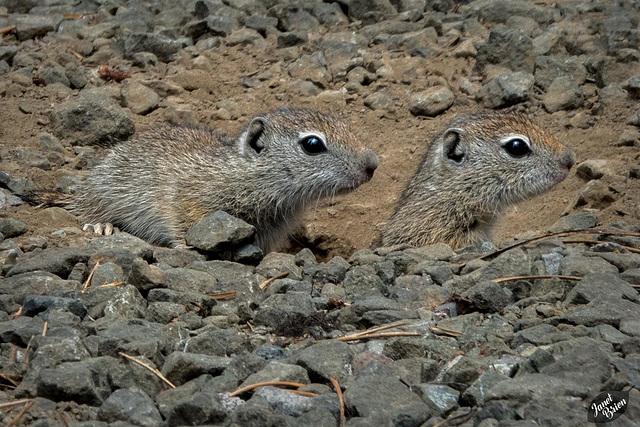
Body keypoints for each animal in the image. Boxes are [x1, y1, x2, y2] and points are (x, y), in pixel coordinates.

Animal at [70, 108, 380, 252]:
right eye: (312, 144)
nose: (372, 165)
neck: (250, 175)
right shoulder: (187, 200)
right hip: (105, 190)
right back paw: (100, 225)